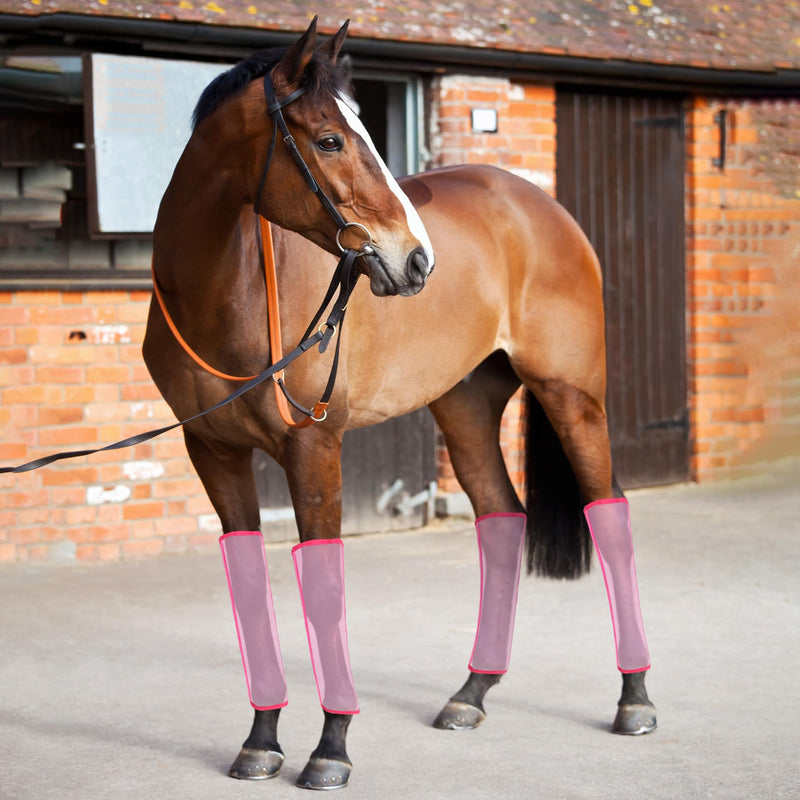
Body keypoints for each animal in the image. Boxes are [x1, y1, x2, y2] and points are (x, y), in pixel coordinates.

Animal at [144, 20, 656, 791]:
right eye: (329, 139)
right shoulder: (213, 452)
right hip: (466, 407)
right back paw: (471, 693)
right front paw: (261, 741)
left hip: (573, 399)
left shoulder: (314, 447)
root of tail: (538, 204)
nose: (416, 260)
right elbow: (251, 586)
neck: (229, 293)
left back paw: (635, 699)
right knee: (501, 518)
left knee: (613, 520)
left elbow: (324, 591)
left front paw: (330, 749)